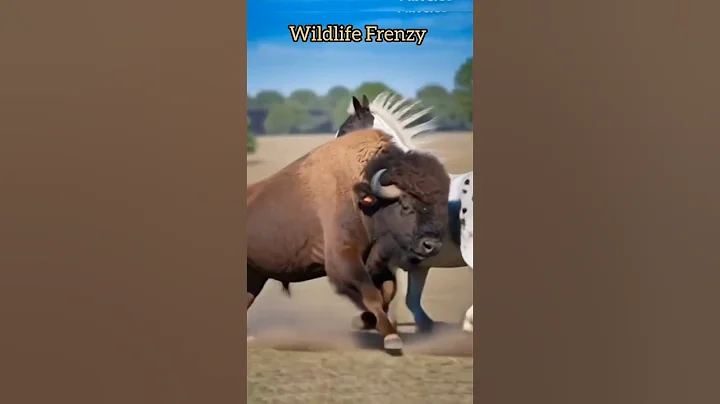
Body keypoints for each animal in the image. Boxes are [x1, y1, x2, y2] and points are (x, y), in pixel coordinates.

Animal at [246, 128, 451, 353]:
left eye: (441, 205)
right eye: (405, 205)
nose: (431, 245)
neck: (364, 202)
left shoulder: (378, 265)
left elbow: (387, 292)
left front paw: (367, 321)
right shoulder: (343, 261)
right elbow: (371, 295)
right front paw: (391, 338)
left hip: (255, 276)